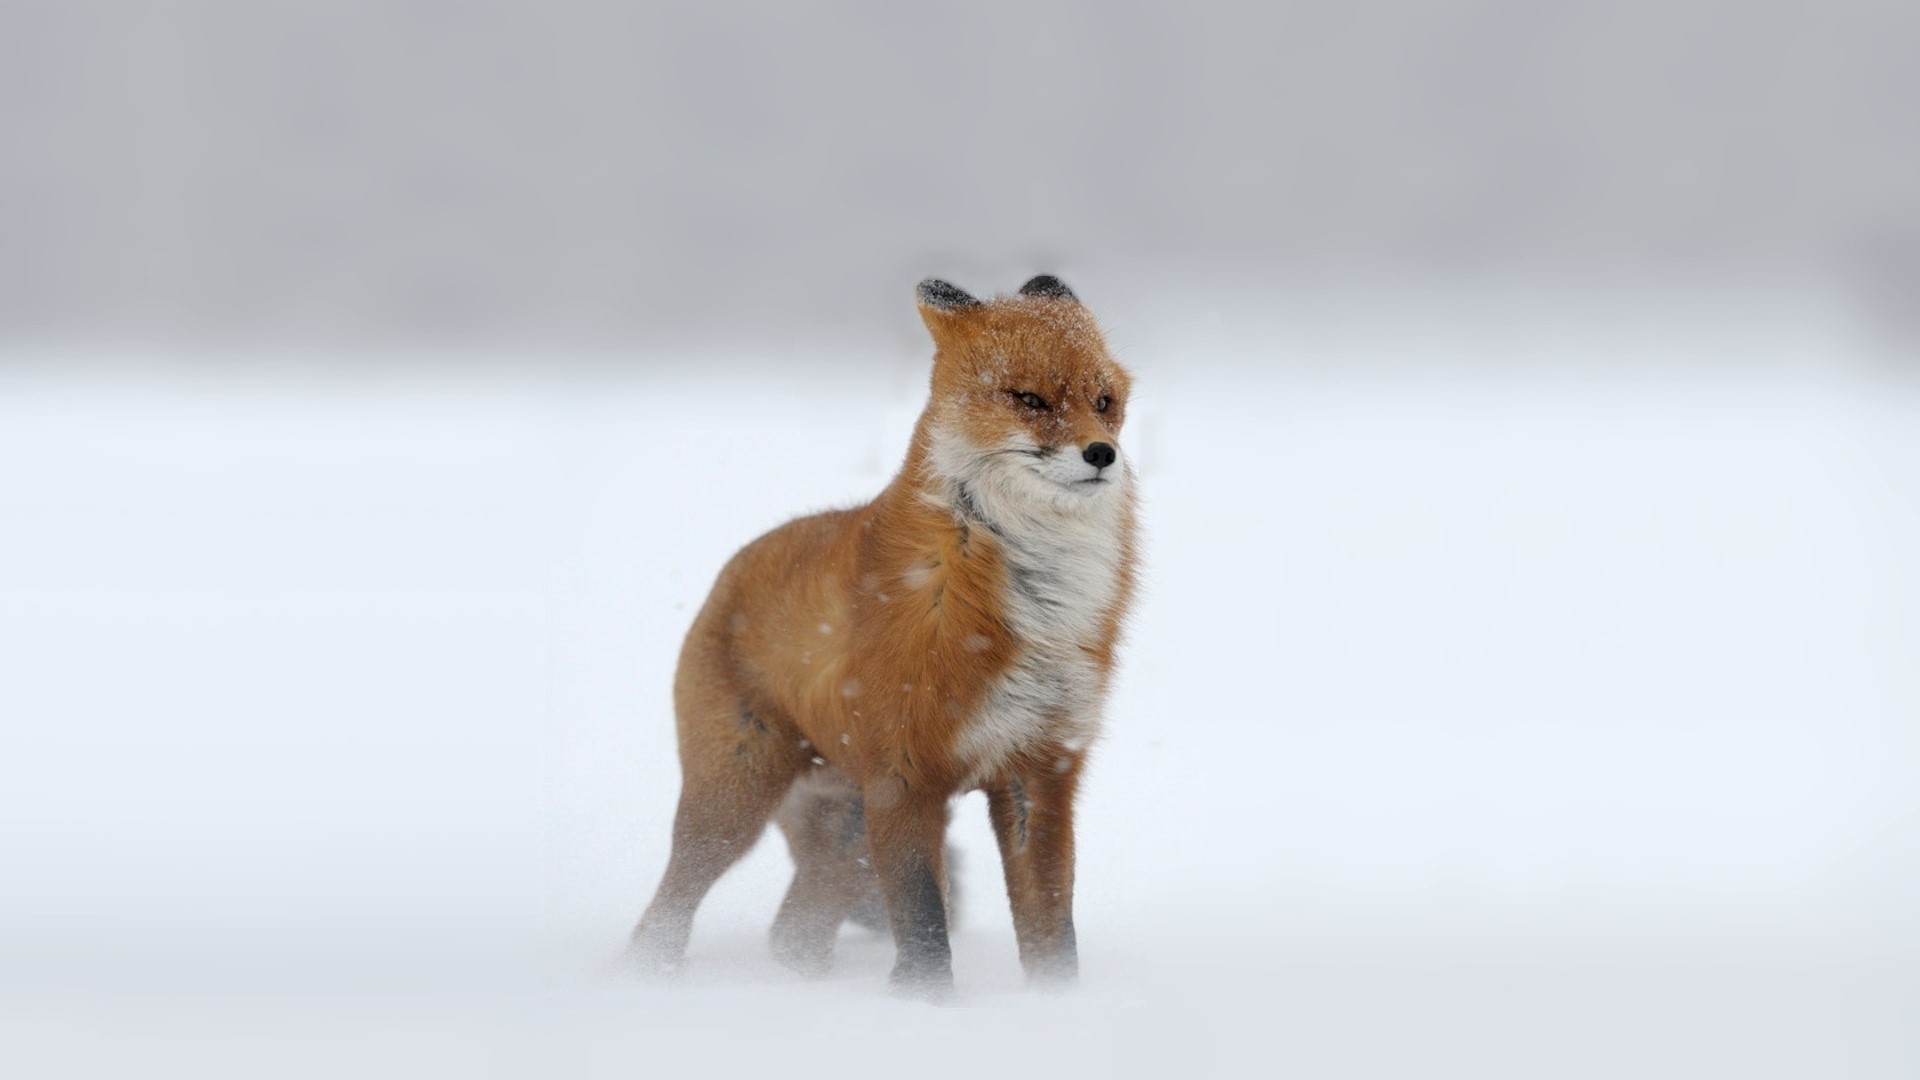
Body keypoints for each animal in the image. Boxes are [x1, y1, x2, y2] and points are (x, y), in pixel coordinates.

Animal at [626, 275, 1137, 997]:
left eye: (1104, 402)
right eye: (1029, 399)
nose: (1102, 454)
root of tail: (733, 567)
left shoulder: (1040, 770)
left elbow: (1051, 926)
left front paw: (1056, 1004)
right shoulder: (904, 775)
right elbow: (923, 923)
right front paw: (927, 1008)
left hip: (845, 826)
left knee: (793, 933)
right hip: (735, 801)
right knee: (666, 912)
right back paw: (649, 979)